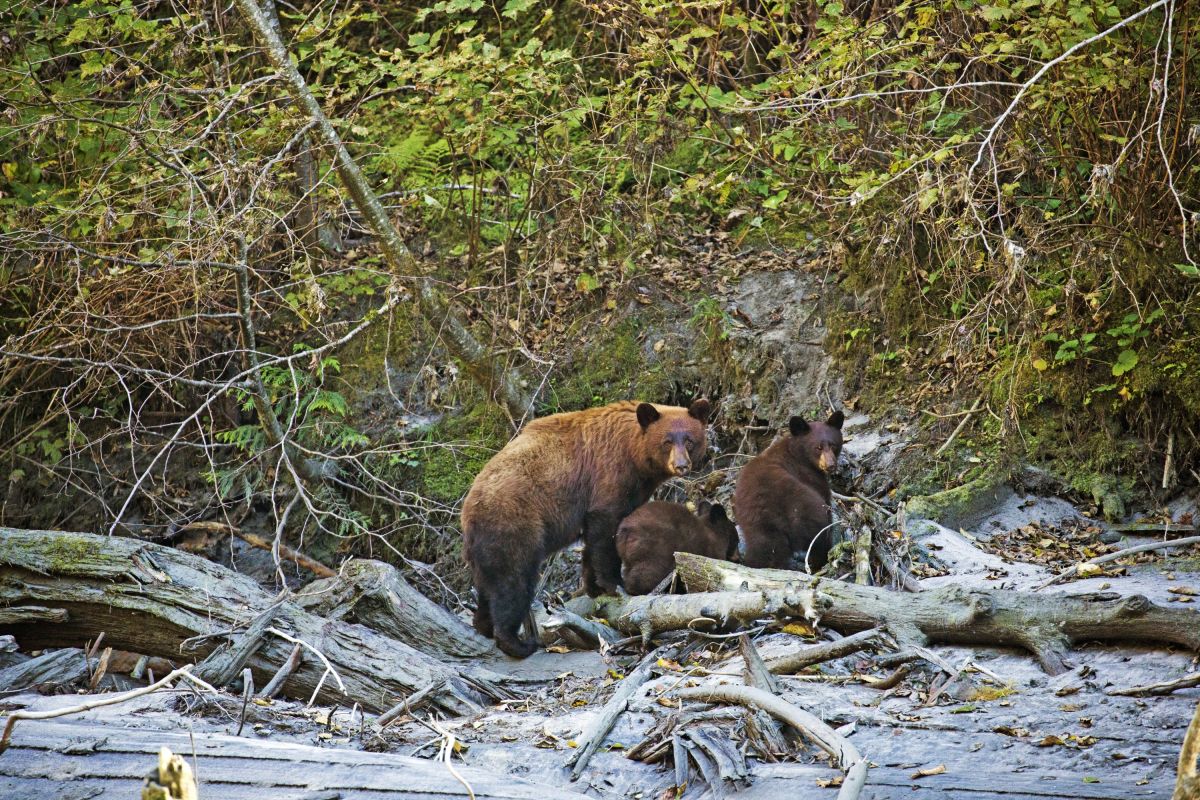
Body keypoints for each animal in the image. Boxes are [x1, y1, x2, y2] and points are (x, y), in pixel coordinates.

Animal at [461, 398, 711, 657]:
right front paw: (614, 584)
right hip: (514, 525)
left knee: (488, 586)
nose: (681, 465)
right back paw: (516, 642)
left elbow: (594, 541)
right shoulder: (608, 475)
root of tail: (469, 509)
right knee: (513, 581)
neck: (633, 454)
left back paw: (483, 625)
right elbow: (604, 531)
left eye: (689, 440)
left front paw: (593, 587)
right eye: (667, 441)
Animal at [734, 410, 844, 572]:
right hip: (805, 508)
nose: (831, 465)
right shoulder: (810, 477)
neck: (797, 453)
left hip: (755, 527)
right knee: (818, 537)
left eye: (833, 445)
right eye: (818, 447)